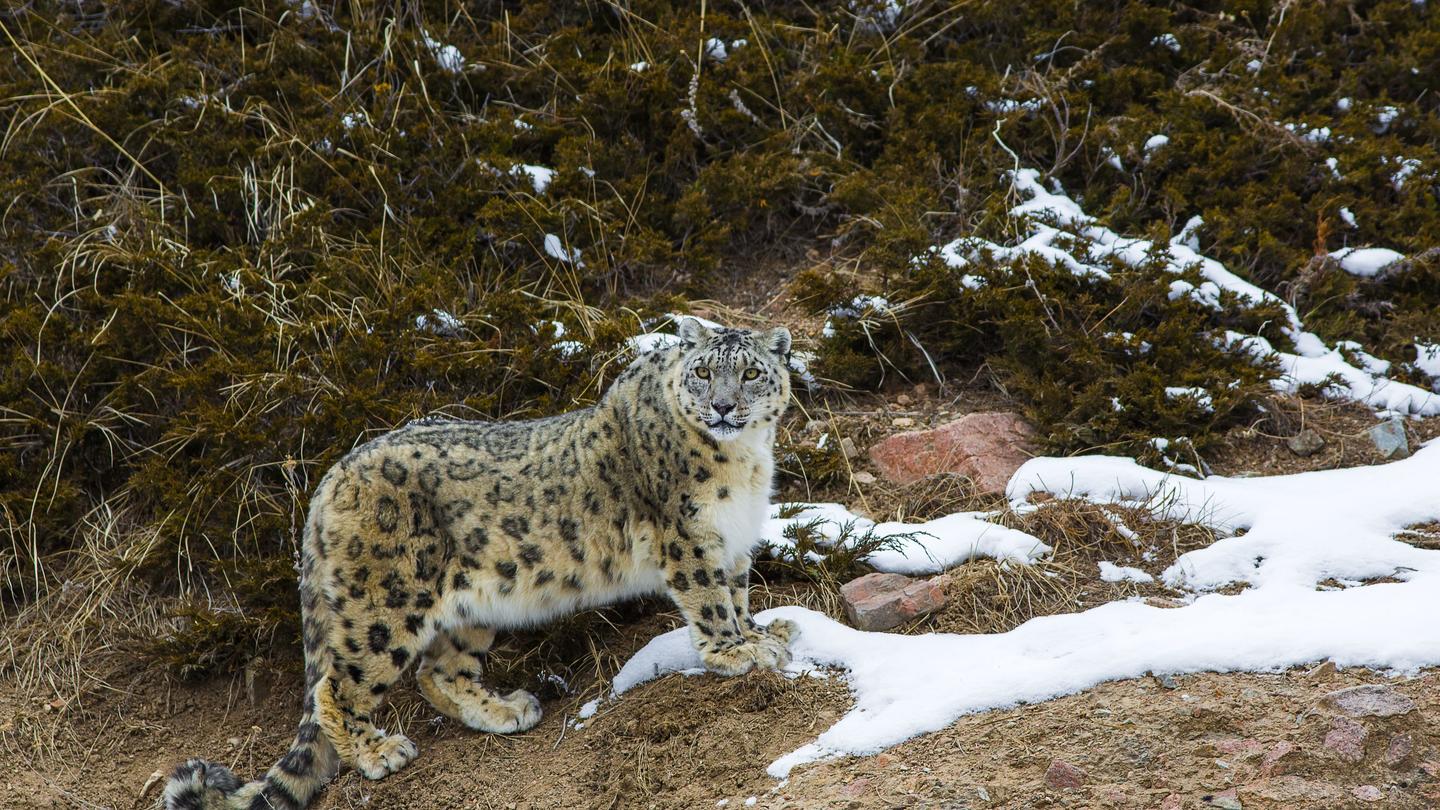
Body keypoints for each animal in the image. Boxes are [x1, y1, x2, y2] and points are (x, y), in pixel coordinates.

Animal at [164, 317, 799, 809]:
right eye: (703, 373)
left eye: (750, 373)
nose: (722, 406)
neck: (744, 462)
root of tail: (330, 479)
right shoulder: (688, 536)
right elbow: (710, 597)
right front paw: (736, 651)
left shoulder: (735, 539)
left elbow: (736, 591)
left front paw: (764, 632)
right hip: (385, 604)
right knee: (337, 686)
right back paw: (380, 752)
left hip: (474, 603)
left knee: (438, 670)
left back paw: (505, 710)